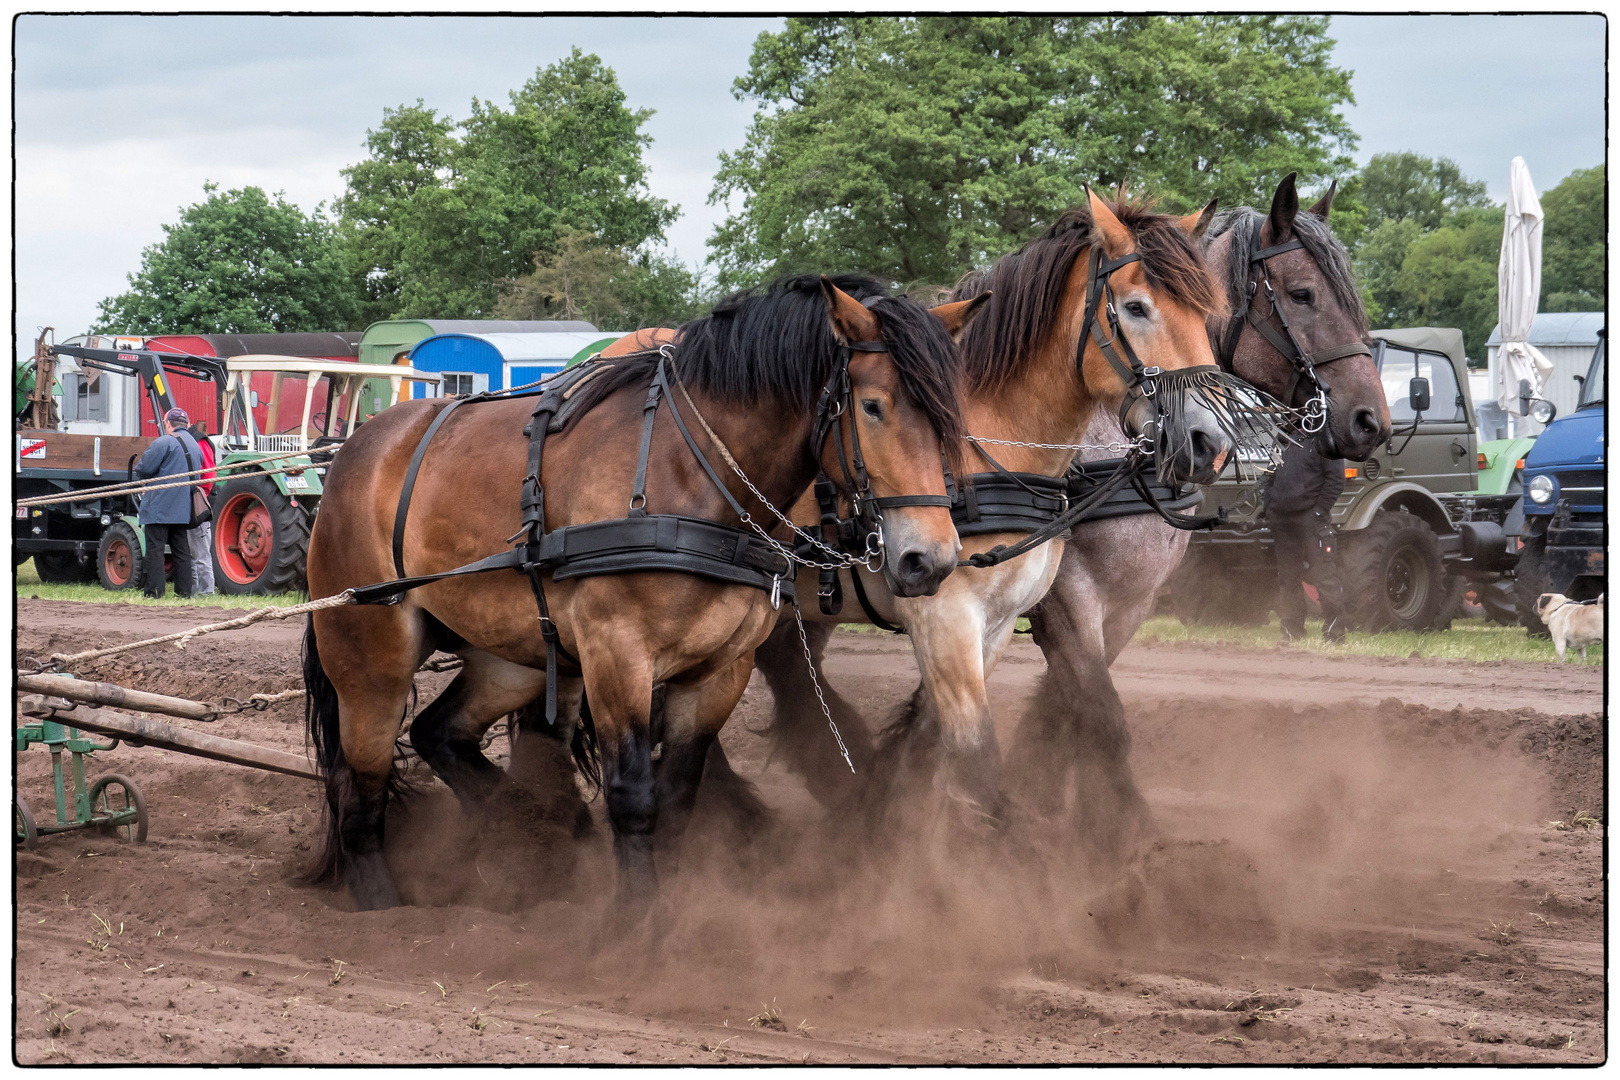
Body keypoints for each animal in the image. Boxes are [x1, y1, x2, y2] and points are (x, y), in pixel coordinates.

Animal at [302, 272, 978, 913]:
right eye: (874, 407)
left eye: (950, 416)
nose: (931, 559)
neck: (693, 474)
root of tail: (353, 451)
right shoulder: (617, 656)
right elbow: (633, 796)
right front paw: (633, 929)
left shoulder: (719, 671)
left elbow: (677, 799)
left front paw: (665, 913)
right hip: (371, 660)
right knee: (359, 784)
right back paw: (386, 908)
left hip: (512, 656)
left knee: (439, 734)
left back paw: (531, 833)